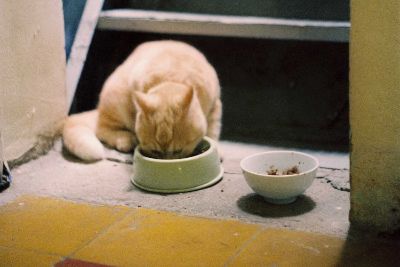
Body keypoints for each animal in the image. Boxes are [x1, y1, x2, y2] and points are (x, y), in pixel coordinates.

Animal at [62, 40, 222, 161]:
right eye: (155, 152)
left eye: (178, 151)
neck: (172, 79)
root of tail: (99, 110)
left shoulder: (215, 106)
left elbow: (212, 131)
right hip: (117, 102)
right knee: (102, 129)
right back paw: (125, 139)